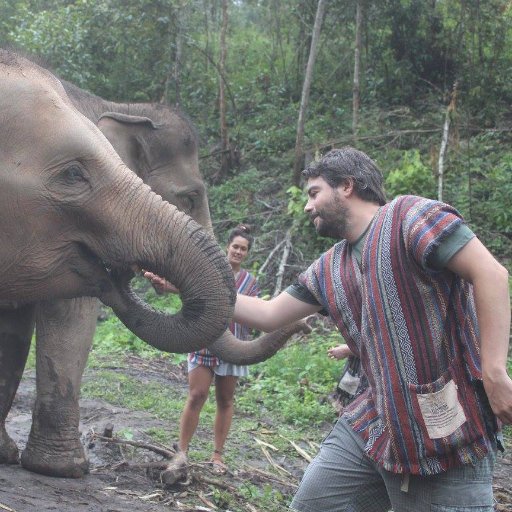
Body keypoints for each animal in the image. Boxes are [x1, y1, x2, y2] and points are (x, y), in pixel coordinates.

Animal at [0, 48, 237, 480]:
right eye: (190, 197)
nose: (121, 270)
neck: (120, 106)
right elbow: (72, 314)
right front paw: (66, 470)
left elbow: (14, 327)